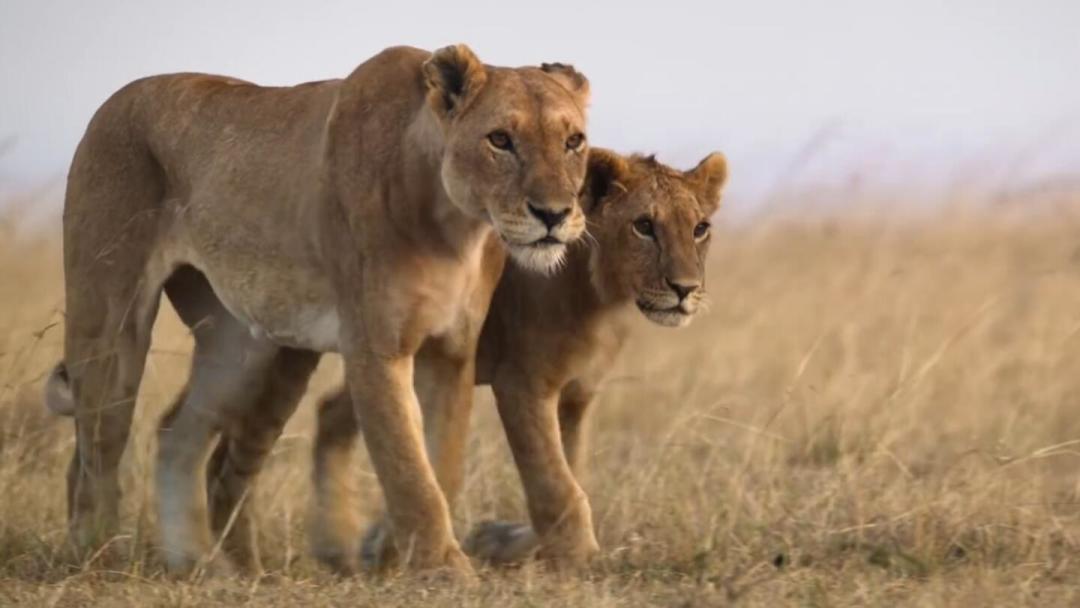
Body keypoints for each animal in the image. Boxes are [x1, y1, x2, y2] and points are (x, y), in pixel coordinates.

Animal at [43, 44, 590, 576]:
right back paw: (97, 560)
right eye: (500, 139)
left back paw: (200, 566)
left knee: (178, 431)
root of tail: (111, 104)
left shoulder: (452, 351)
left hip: (238, 349)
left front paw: (413, 556)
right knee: (94, 449)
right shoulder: (375, 347)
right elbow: (408, 468)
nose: (554, 214)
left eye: (573, 142)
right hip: (110, 321)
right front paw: (443, 569)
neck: (456, 229)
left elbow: (443, 464)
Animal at [187, 146, 727, 573]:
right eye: (643, 226)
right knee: (236, 450)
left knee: (332, 414)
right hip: (287, 356)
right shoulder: (522, 384)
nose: (686, 290)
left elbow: (567, 471)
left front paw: (511, 542)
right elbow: (554, 481)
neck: (604, 301)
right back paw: (245, 560)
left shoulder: (577, 397)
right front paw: (580, 557)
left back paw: (345, 545)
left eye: (700, 228)